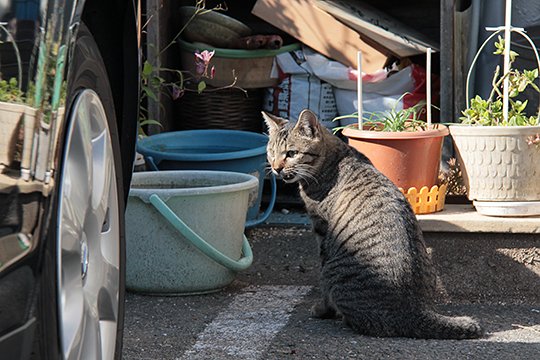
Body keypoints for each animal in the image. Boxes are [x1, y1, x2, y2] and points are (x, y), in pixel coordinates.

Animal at [262, 110, 486, 340]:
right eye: (271, 152)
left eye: (291, 153)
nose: (276, 168)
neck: (334, 158)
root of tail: (414, 310)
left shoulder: (321, 231)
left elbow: (323, 289)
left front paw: (321, 310)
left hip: (335, 269)